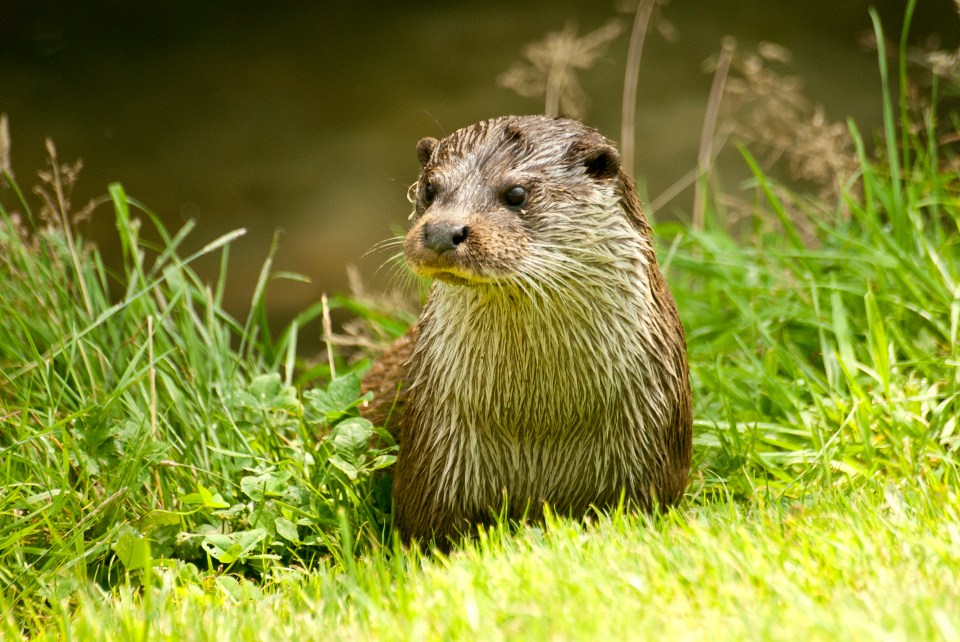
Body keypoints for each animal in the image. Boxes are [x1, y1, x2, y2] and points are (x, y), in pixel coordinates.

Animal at [364, 114, 692, 544]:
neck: (539, 423)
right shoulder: (434, 459)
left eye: (516, 193)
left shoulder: (653, 452)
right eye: (430, 188)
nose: (441, 231)